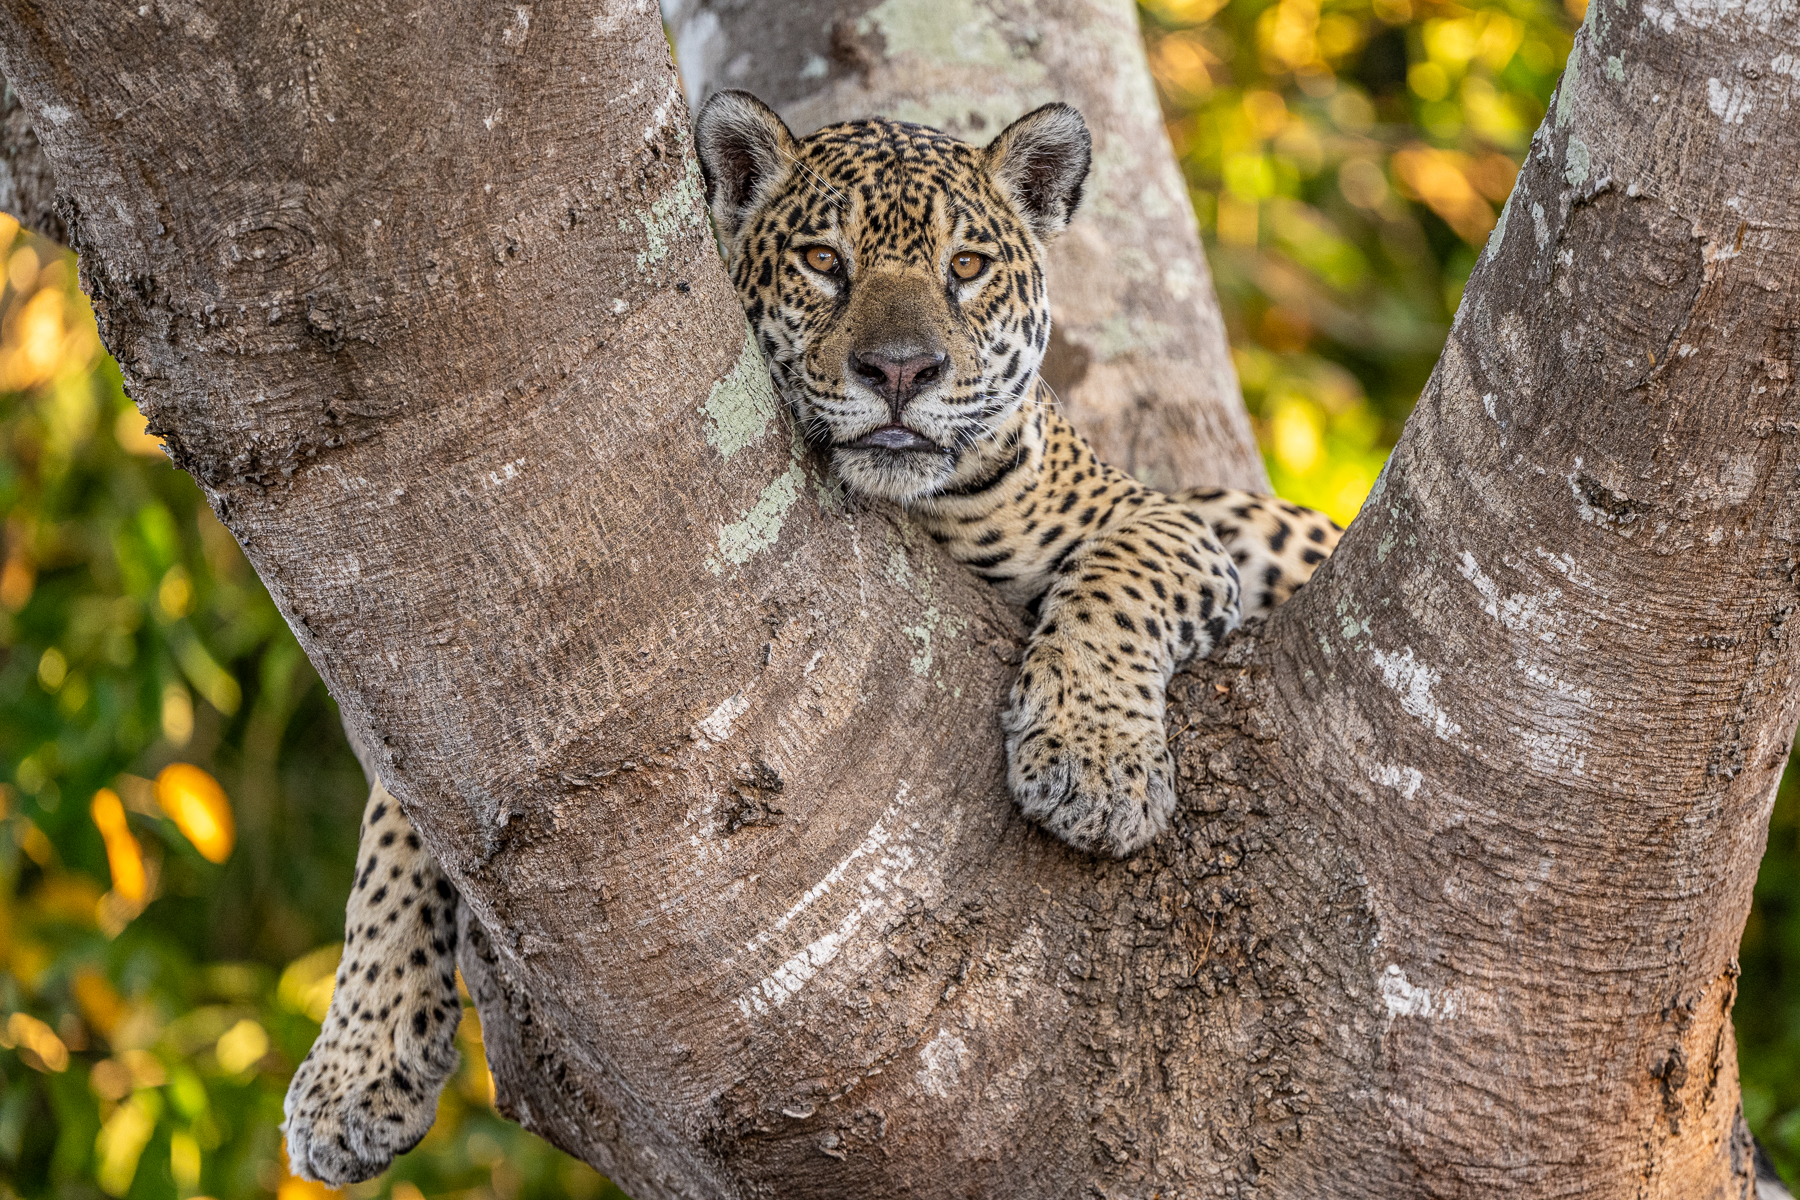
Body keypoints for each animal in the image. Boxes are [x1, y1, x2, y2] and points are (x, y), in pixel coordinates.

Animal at [281, 92, 1341, 1185]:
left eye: (966, 266)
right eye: (825, 260)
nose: (901, 371)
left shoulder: (1175, 523)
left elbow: (1120, 583)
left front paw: (1093, 767)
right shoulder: (436, 721)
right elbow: (394, 831)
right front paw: (355, 1069)